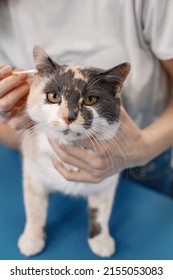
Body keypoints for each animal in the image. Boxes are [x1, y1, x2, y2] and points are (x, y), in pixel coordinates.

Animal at [18, 44, 130, 258]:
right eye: (53, 96)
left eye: (90, 100)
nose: (69, 117)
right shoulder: (33, 172)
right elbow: (35, 208)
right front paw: (32, 239)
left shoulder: (107, 181)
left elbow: (101, 212)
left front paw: (101, 241)